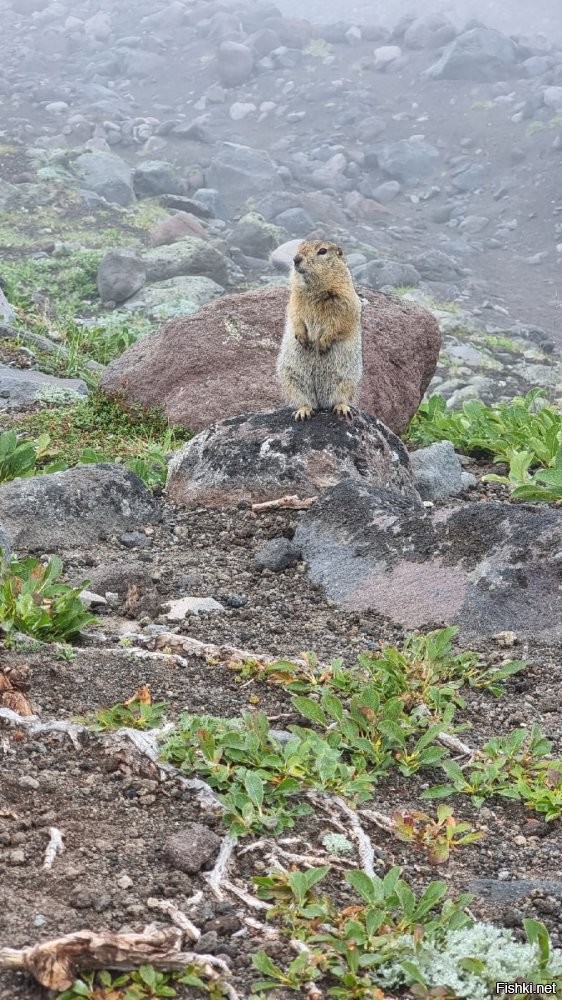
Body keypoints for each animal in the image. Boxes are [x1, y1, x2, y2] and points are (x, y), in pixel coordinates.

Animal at [274, 240, 358, 420]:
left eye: (322, 251)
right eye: (298, 248)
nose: (296, 259)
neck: (314, 291)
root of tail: (321, 402)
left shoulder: (345, 300)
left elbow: (339, 322)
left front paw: (323, 343)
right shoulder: (295, 299)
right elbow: (295, 315)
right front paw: (302, 337)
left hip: (347, 380)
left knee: (341, 398)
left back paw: (341, 408)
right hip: (292, 379)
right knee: (304, 401)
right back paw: (303, 411)